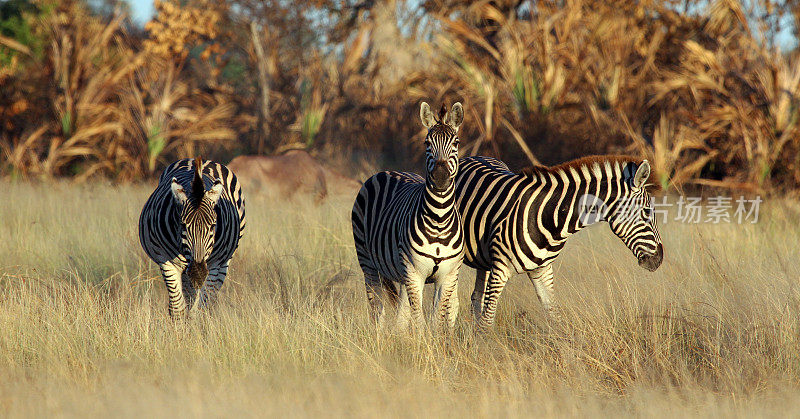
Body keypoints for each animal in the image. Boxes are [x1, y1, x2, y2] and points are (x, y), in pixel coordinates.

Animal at [138, 158, 244, 318]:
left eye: (213, 226)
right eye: (183, 225)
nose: (198, 273)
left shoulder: (215, 264)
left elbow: (204, 307)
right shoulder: (165, 261)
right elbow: (177, 308)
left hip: (224, 261)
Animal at [352, 102, 468, 332]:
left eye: (456, 142)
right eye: (427, 143)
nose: (440, 177)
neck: (439, 219)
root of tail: (387, 171)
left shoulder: (447, 276)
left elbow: (435, 318)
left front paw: (434, 341)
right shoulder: (414, 272)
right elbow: (419, 319)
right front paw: (423, 342)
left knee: (400, 313)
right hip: (368, 262)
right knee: (377, 309)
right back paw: (379, 337)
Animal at [456, 156, 664, 330]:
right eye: (647, 211)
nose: (659, 259)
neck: (551, 218)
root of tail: (474, 156)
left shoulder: (542, 269)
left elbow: (555, 318)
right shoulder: (500, 269)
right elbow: (487, 323)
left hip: (483, 260)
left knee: (476, 297)